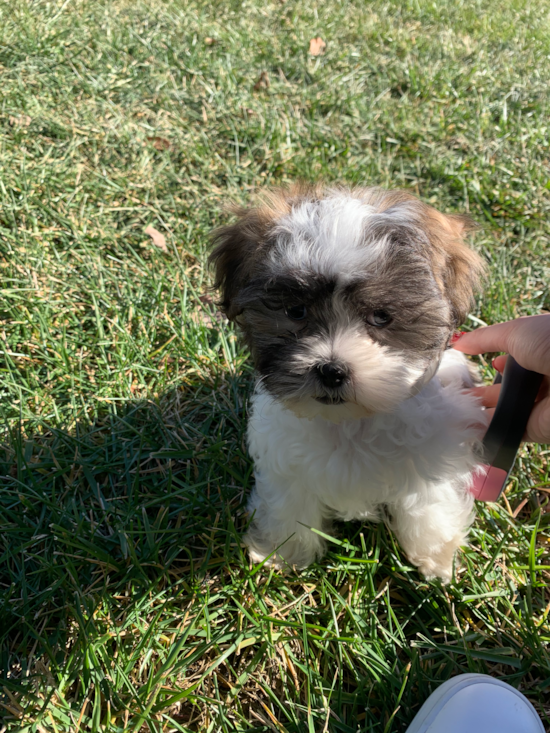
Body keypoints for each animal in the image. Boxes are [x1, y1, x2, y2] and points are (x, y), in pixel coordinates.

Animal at [209, 186, 490, 580]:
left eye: (381, 317)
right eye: (296, 312)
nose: (331, 370)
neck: (351, 421)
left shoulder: (435, 446)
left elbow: (426, 499)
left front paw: (436, 552)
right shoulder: (285, 456)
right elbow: (289, 498)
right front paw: (284, 550)